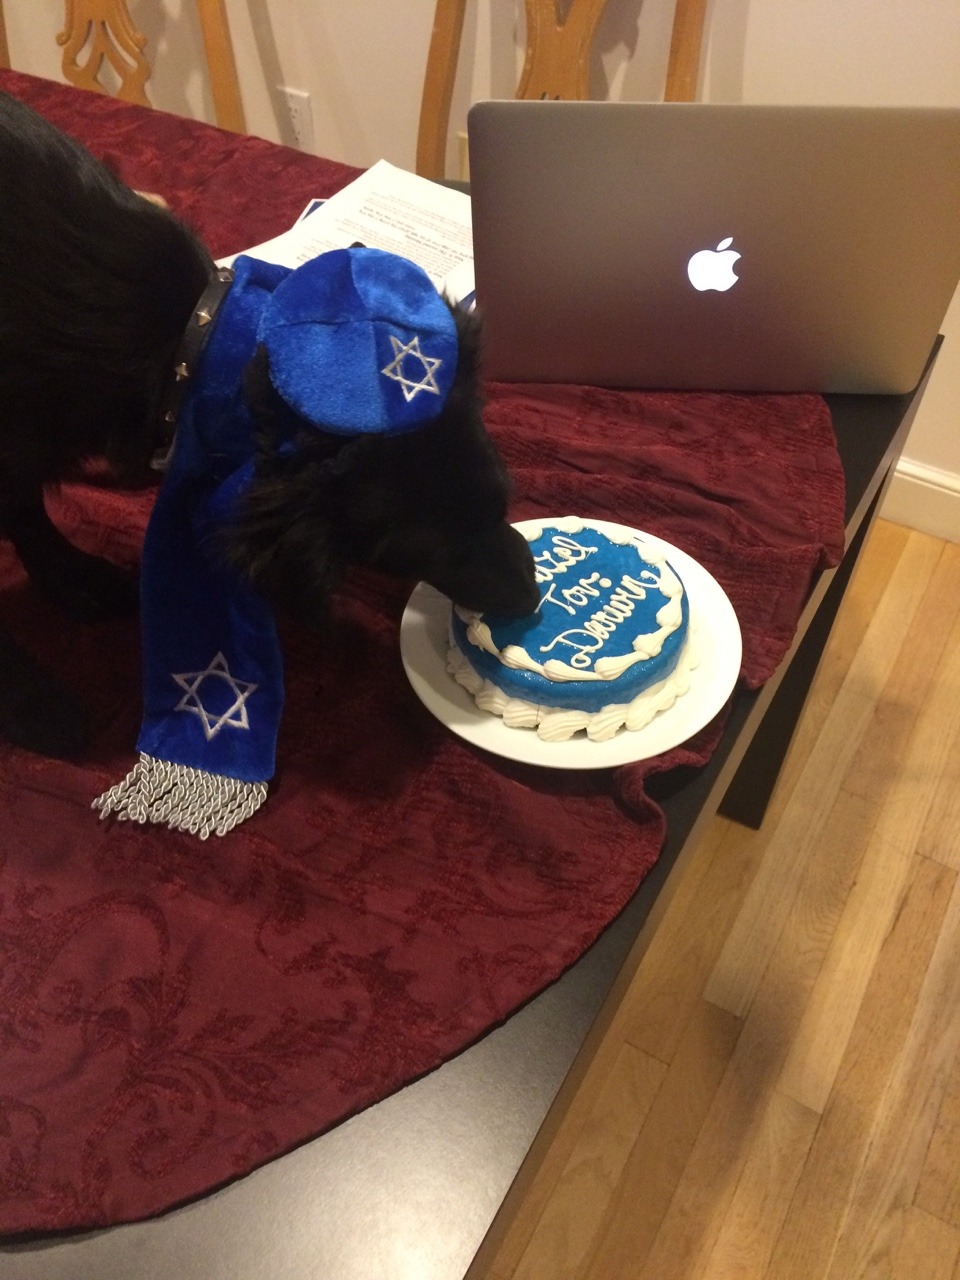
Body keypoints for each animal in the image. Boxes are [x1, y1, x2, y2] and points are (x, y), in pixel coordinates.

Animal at [0, 92, 538, 761]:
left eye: (501, 497)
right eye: (411, 552)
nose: (532, 598)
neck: (186, 339)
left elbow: (25, 508)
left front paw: (71, 578)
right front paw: (28, 700)